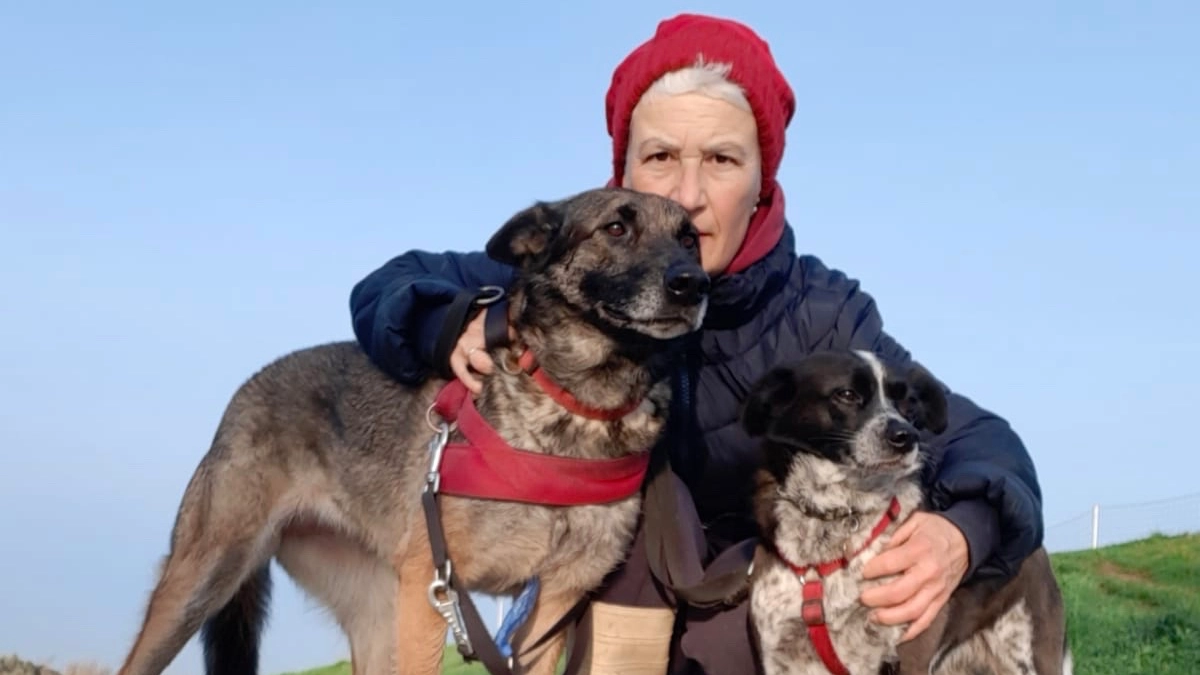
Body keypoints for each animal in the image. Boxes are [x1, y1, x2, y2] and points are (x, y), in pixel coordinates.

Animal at [739, 348, 1070, 672]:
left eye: (907, 402)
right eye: (847, 394)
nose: (906, 436)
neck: (834, 518)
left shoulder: (908, 651)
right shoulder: (780, 655)